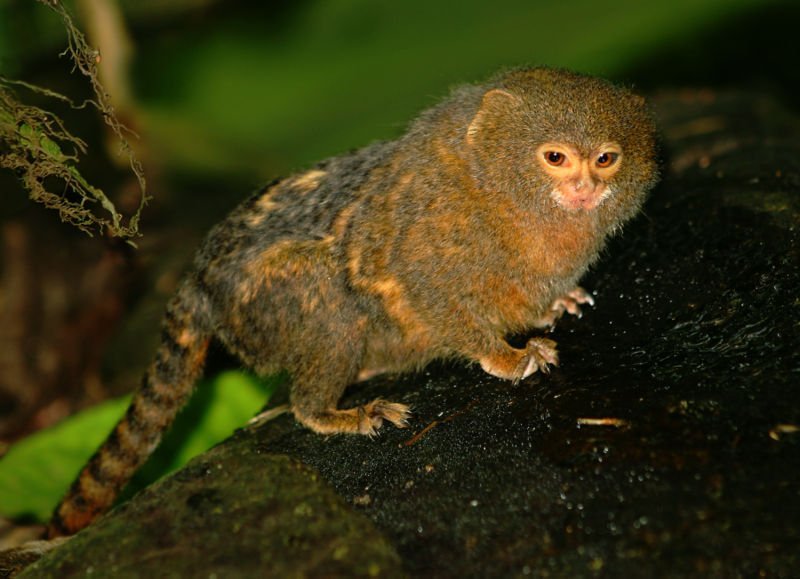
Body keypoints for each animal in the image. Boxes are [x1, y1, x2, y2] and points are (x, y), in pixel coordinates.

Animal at [47, 67, 659, 538]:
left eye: (606, 159)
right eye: (555, 157)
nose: (584, 189)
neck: (499, 192)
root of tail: (198, 282)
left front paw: (550, 305)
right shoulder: (434, 237)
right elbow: (430, 292)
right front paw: (506, 356)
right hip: (267, 303)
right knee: (327, 306)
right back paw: (330, 410)